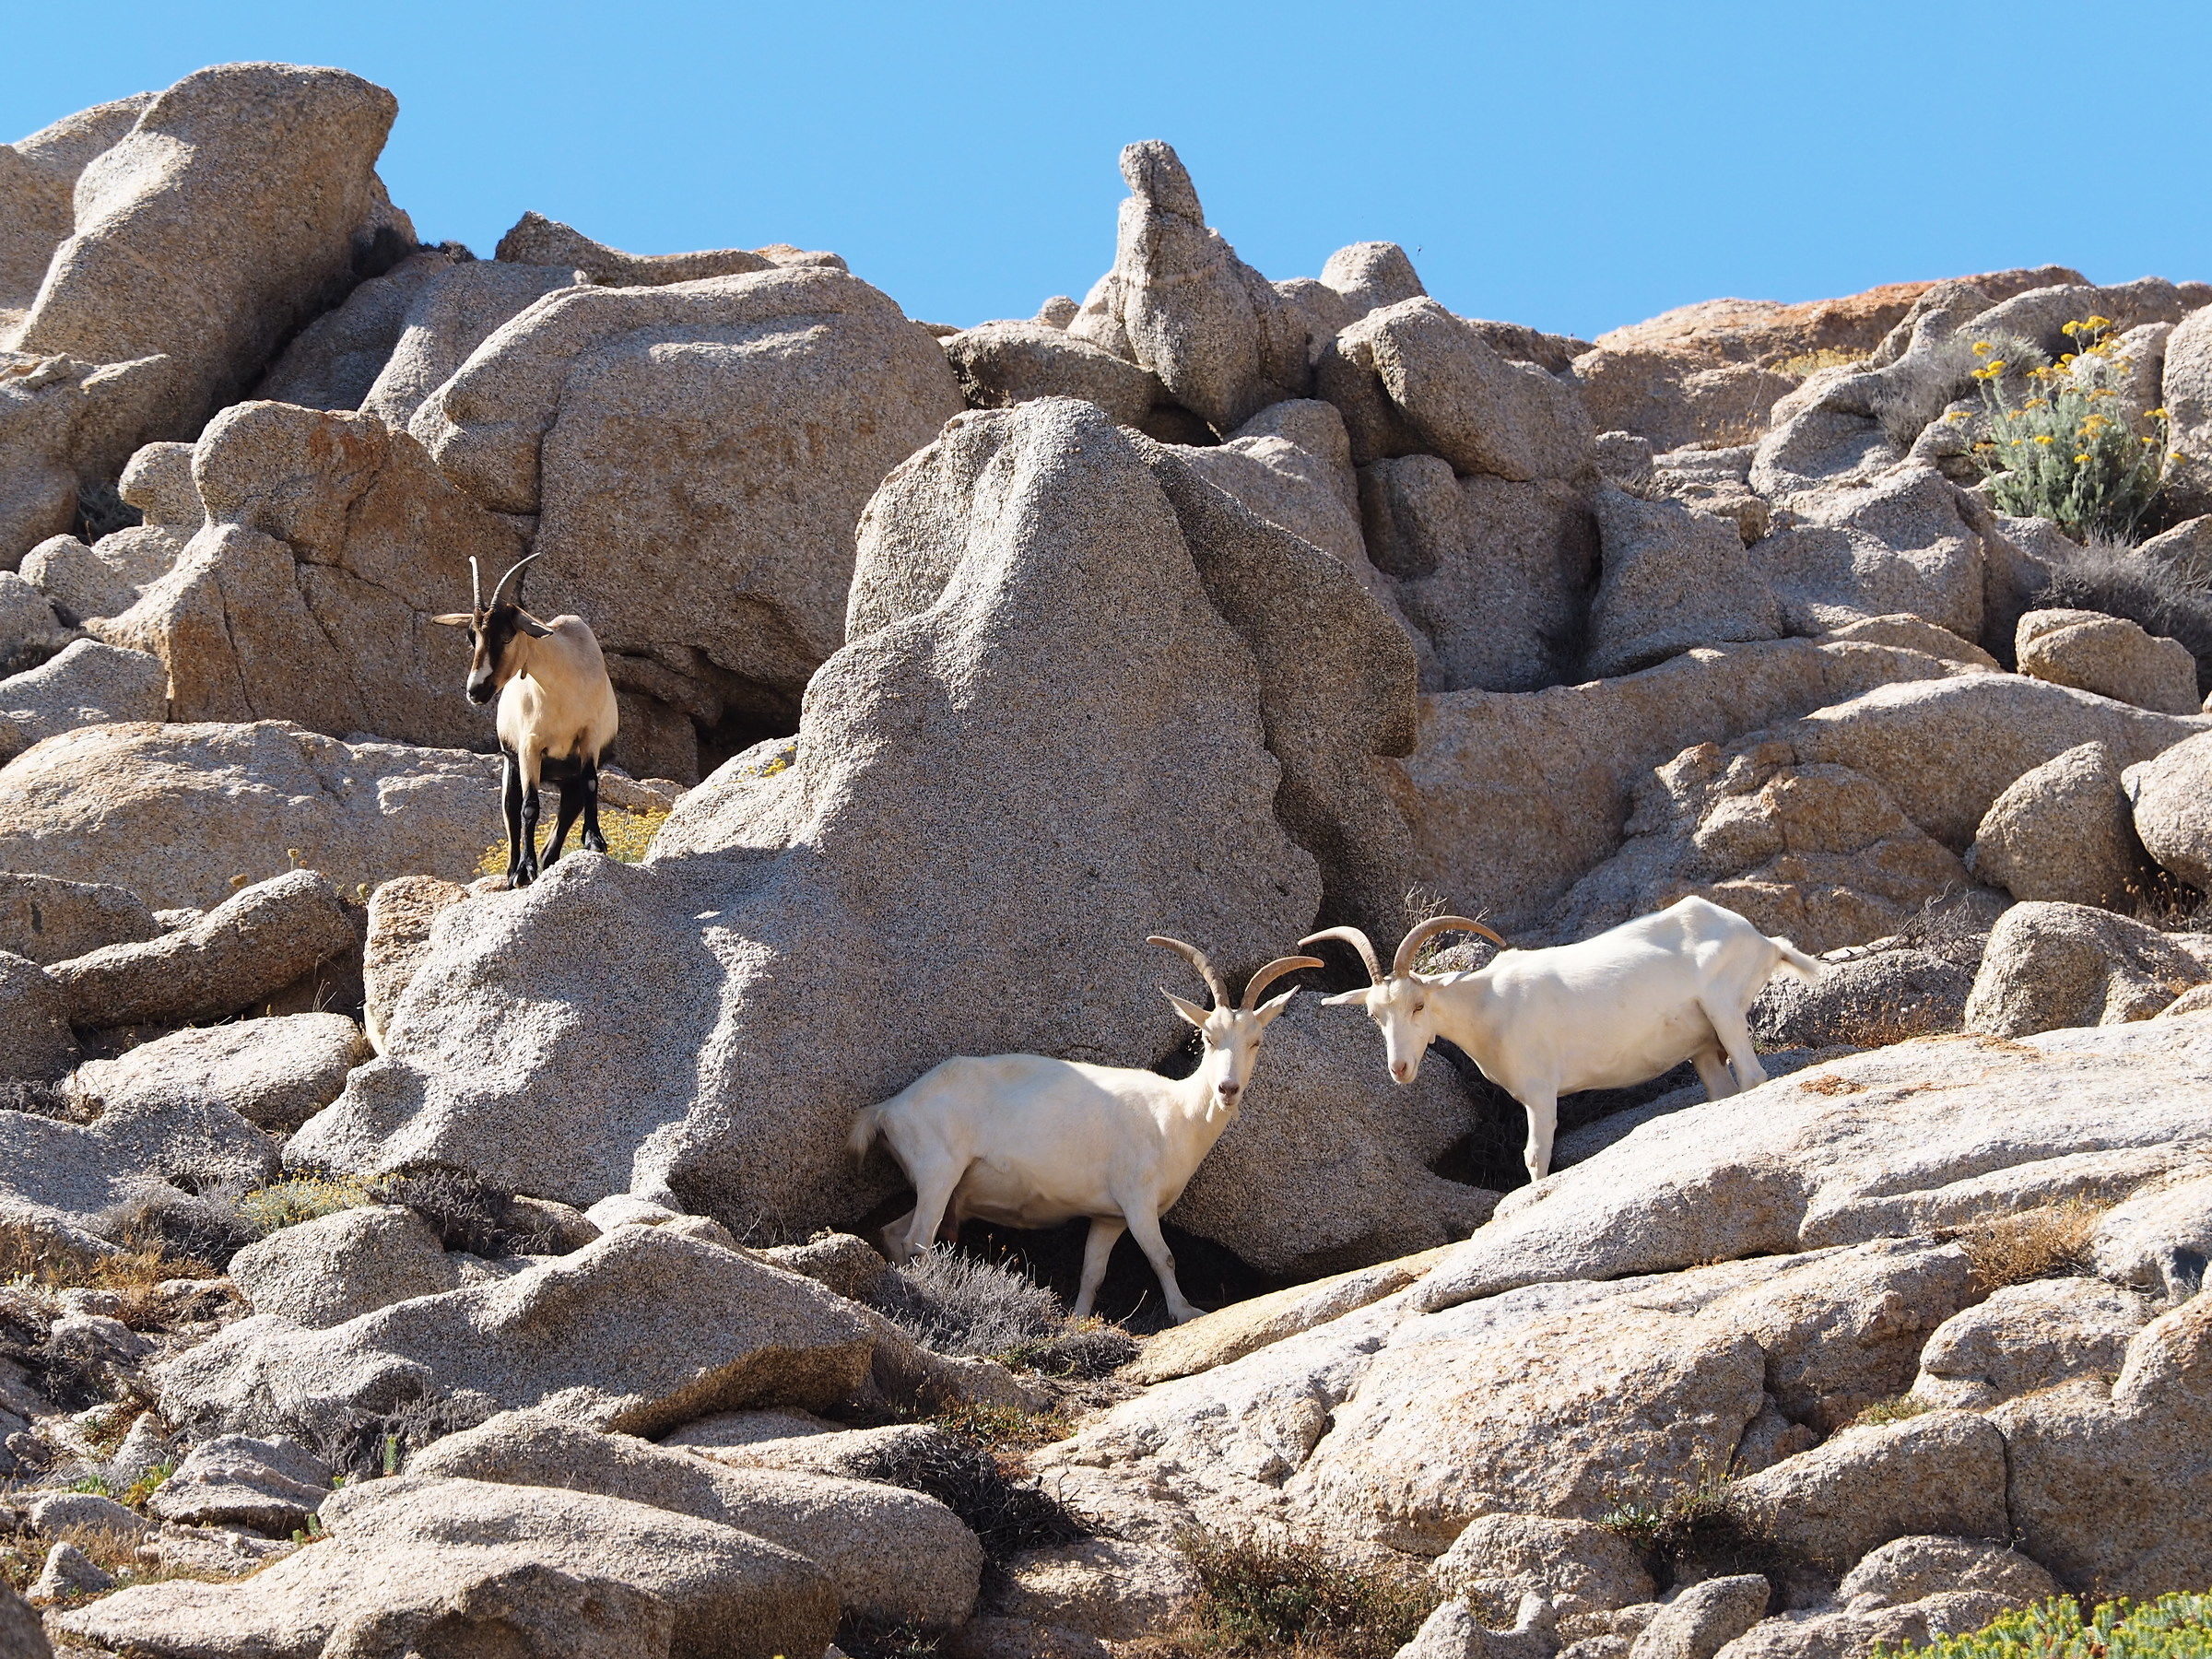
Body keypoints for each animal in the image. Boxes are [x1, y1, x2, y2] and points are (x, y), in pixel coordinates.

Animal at [844, 942, 1309, 1318]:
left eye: (1256, 1041)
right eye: (1207, 1037)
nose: (1227, 1089)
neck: (1174, 1115)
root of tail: (889, 1109)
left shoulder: (1108, 1217)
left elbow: (1093, 1272)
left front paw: (1079, 1319)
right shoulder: (1137, 1201)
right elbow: (1164, 1257)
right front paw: (1185, 1312)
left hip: (940, 1184)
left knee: (895, 1234)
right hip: (939, 1172)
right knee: (918, 1240)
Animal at [1309, 902, 1814, 1185]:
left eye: (1417, 1005)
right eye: (1374, 1015)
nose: (1400, 1068)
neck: (1489, 1004)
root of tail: (1762, 939)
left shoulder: (1540, 1092)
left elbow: (1534, 1156)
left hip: (1724, 1009)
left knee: (1754, 1075)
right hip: (1704, 1045)